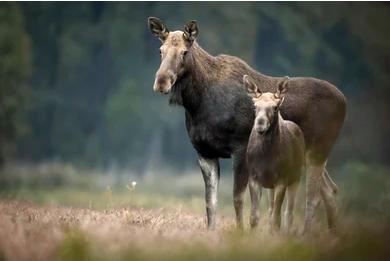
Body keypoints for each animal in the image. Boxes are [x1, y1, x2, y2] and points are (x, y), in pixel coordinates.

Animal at [245, 74, 306, 231]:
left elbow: (276, 219)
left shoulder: (282, 180)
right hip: (270, 186)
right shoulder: (254, 178)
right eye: (255, 106)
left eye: (275, 107)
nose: (260, 123)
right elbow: (254, 217)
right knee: (271, 209)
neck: (266, 155)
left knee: (288, 213)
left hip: (296, 178)